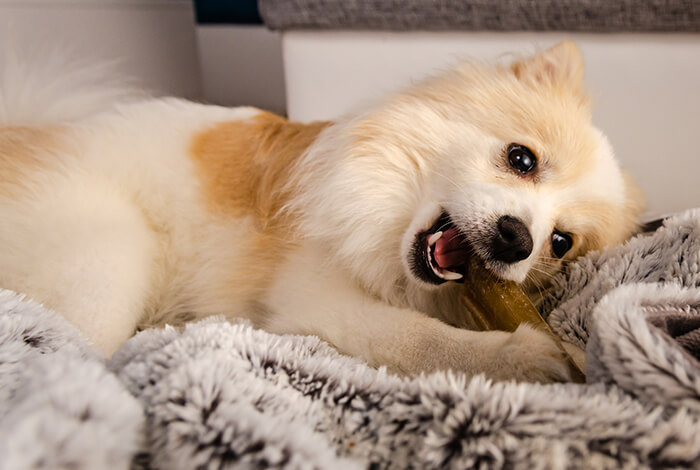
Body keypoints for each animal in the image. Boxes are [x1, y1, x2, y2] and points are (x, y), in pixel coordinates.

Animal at [0, 42, 640, 382]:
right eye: (521, 158)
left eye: (560, 243)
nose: (516, 240)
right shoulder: (311, 297)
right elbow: (415, 338)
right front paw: (521, 357)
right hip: (110, 259)